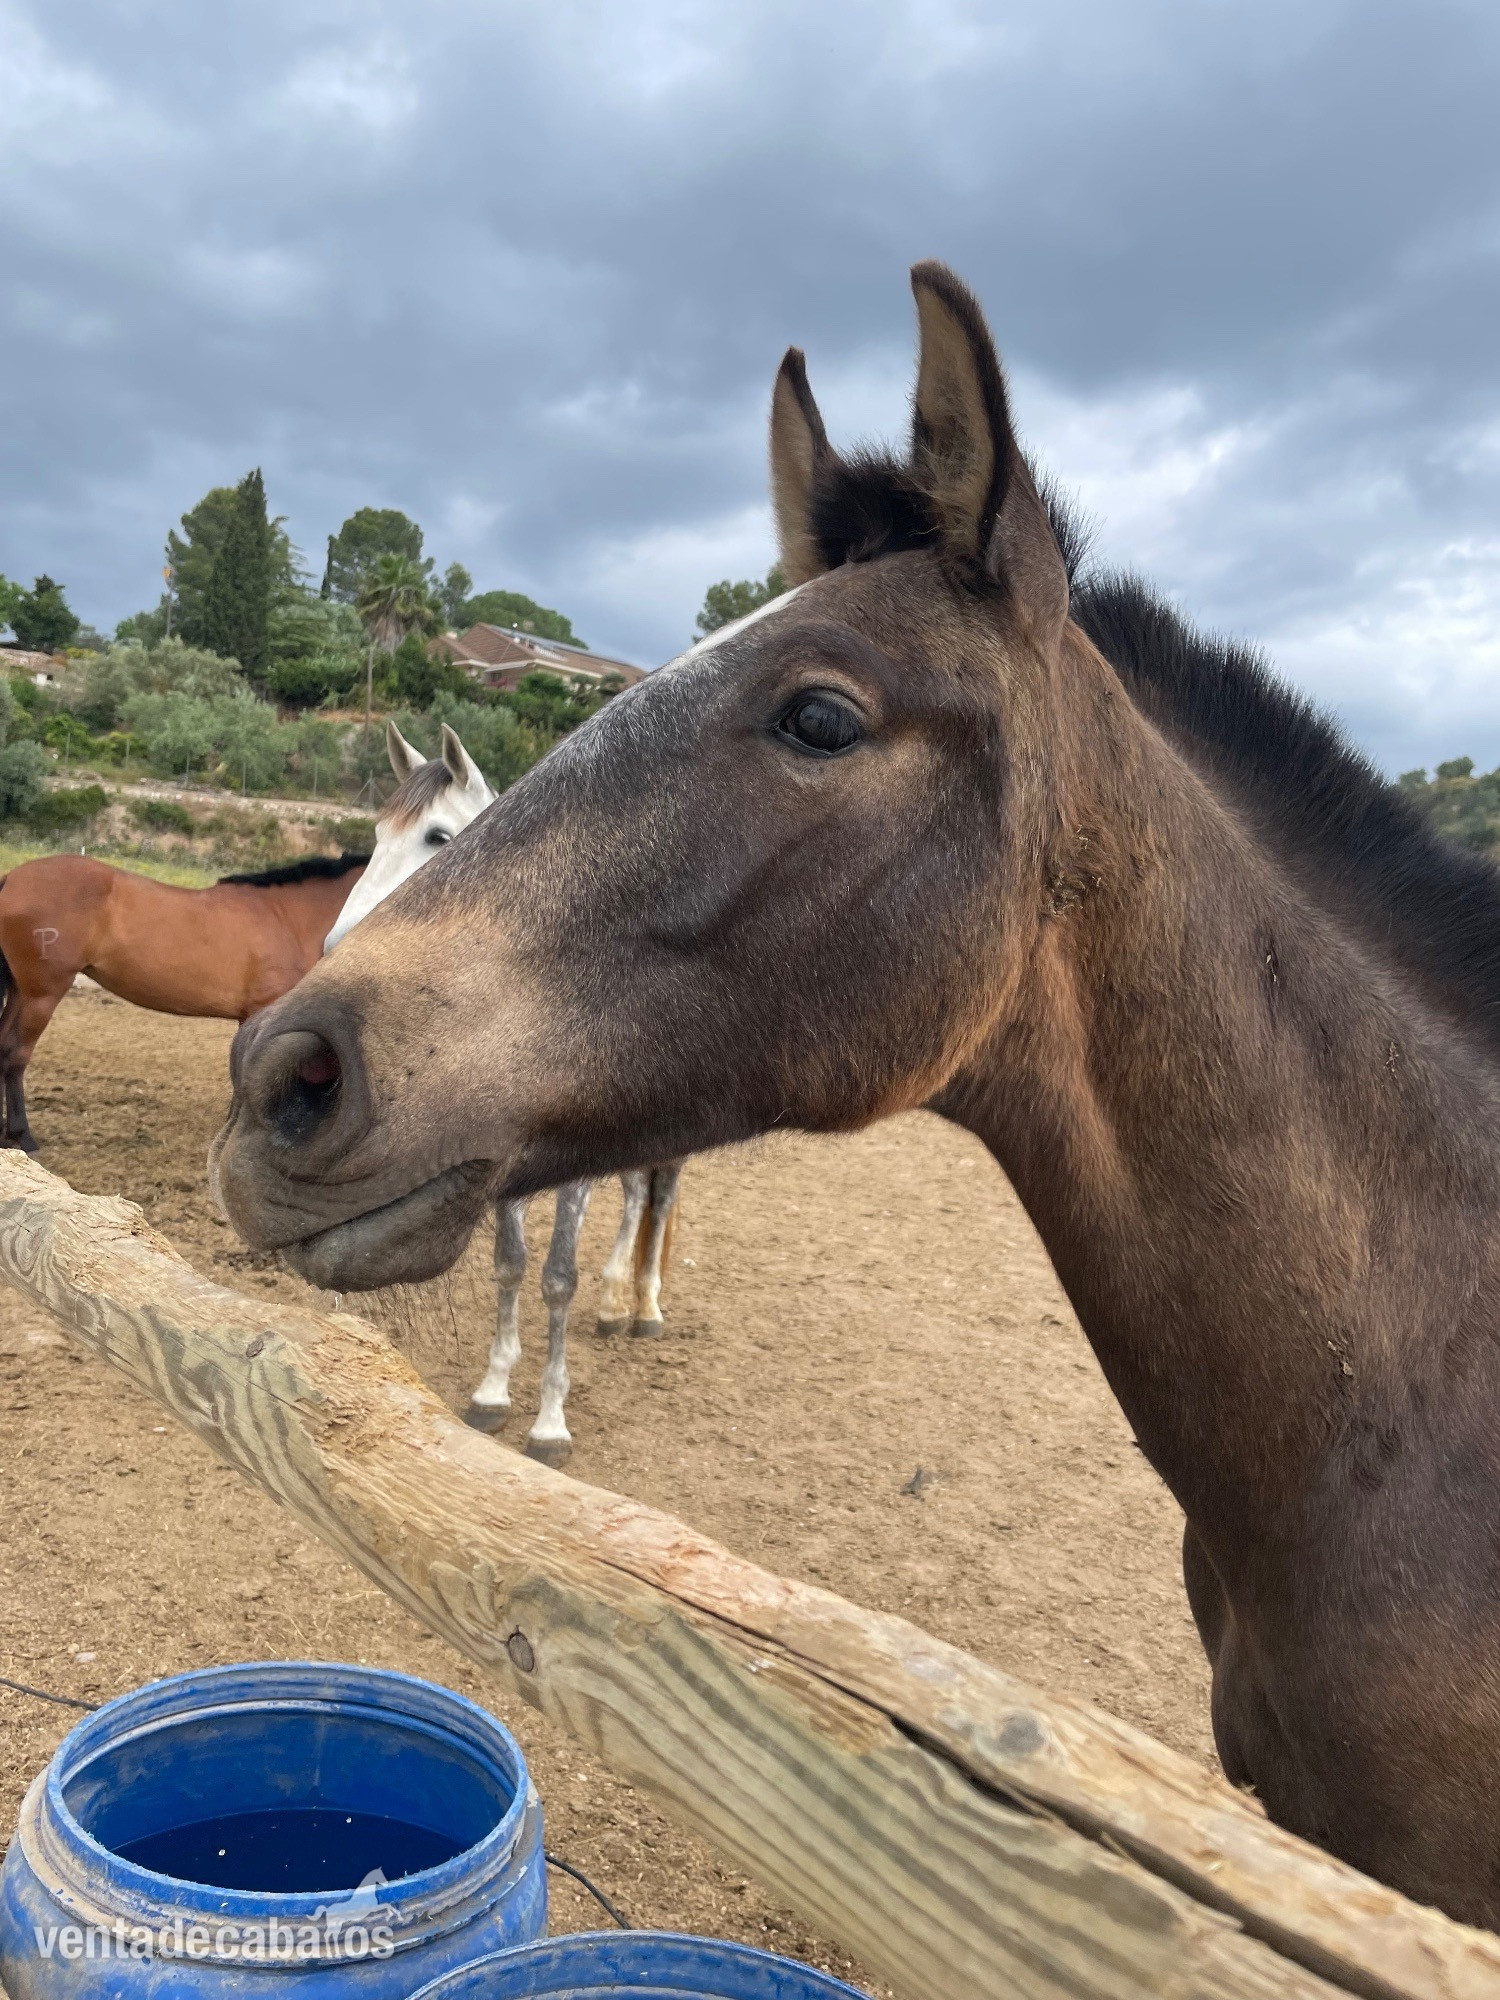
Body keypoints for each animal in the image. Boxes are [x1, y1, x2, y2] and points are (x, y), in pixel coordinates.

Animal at [0, 848, 367, 1152]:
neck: (289, 919)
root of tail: (12, 879)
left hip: (21, 993)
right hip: (41, 996)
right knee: (16, 1054)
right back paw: (22, 1136)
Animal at [333, 719, 684, 1464]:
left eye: (438, 836)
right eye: (375, 834)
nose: (339, 946)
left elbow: (555, 1278)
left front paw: (550, 1420)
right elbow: (509, 1266)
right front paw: (493, 1391)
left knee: (661, 1198)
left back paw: (644, 1307)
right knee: (635, 1198)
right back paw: (614, 1303)